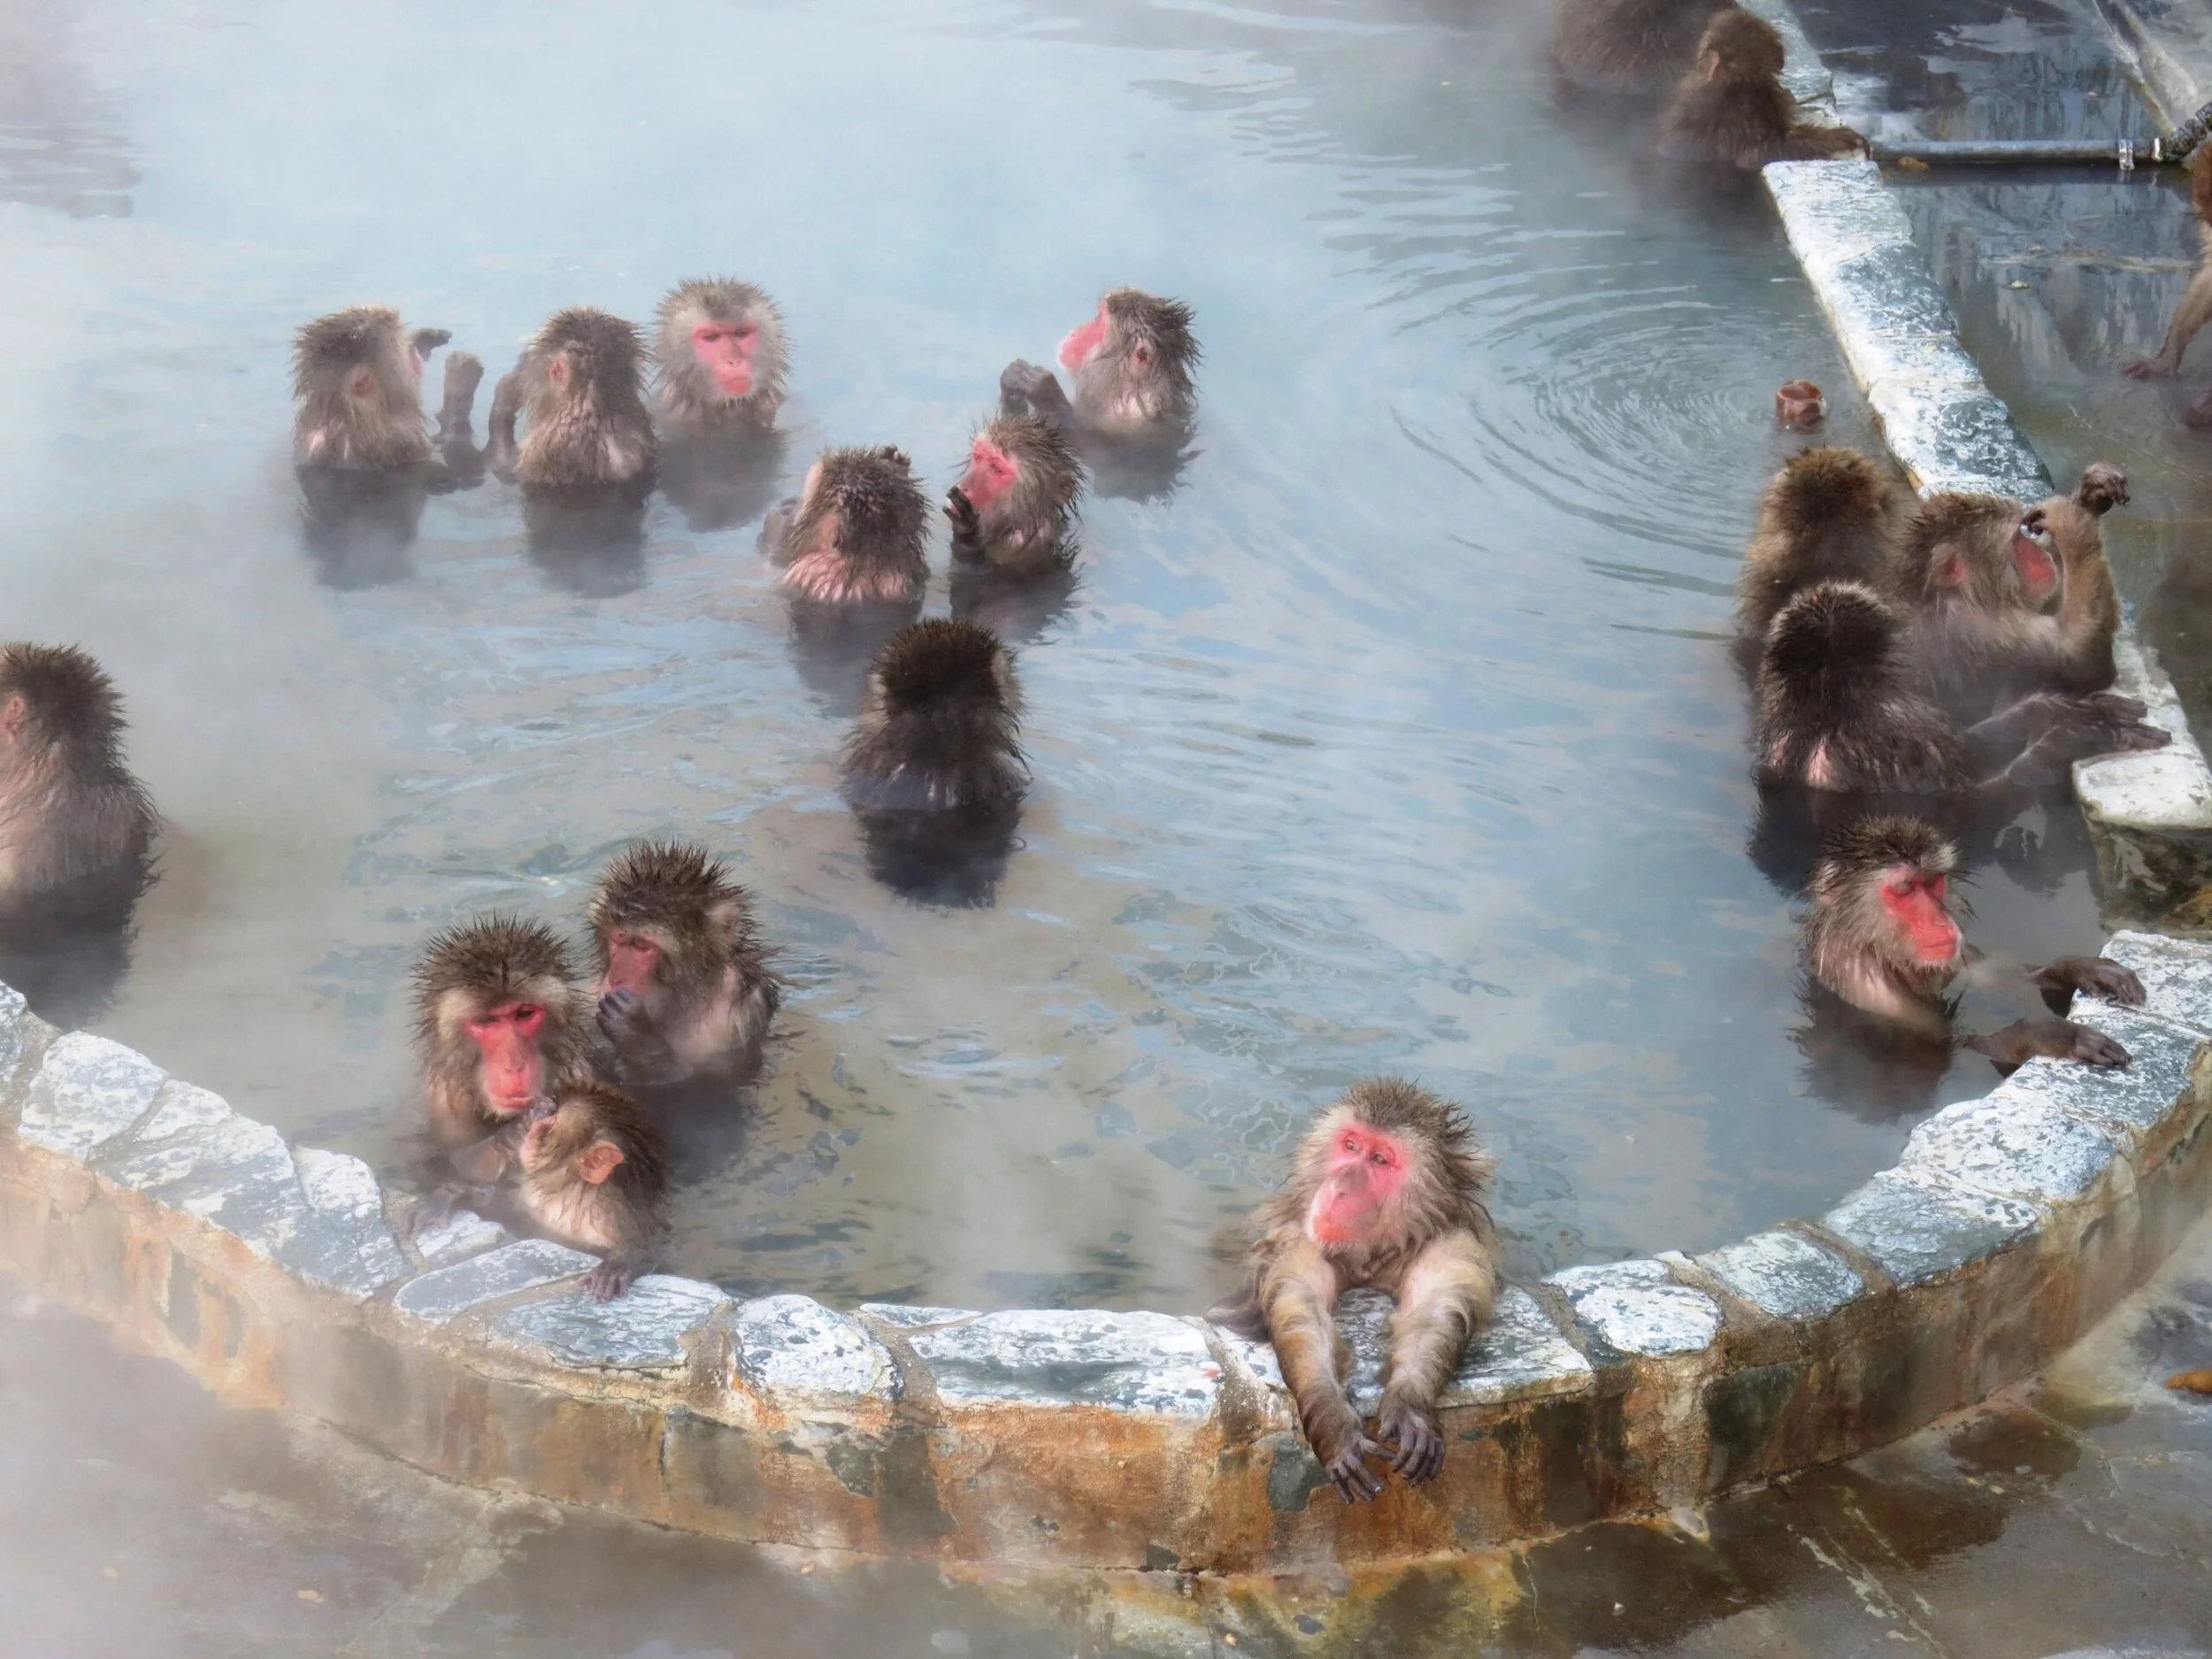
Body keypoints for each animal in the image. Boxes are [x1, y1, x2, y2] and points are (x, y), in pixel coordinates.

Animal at [1209, 1080, 1499, 1503]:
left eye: (1380, 1159)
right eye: (1350, 1145)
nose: (1339, 1187)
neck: (1372, 1255)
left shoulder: (1451, 1246)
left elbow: (1433, 1311)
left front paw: (1410, 1405)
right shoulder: (1303, 1240)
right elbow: (1302, 1311)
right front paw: (1334, 1425)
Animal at [1801, 815, 2142, 1070]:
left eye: (1931, 882)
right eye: (1905, 889)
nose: (1940, 920)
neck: (1879, 951)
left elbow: (1996, 974)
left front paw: (2080, 968)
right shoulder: (1875, 993)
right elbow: (1960, 1047)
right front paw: (2053, 1034)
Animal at [1884, 470, 2125, 722]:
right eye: (2017, 545)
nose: (2041, 556)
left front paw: (2091, 497)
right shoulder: (1987, 631)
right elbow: (2081, 657)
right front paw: (2071, 523)